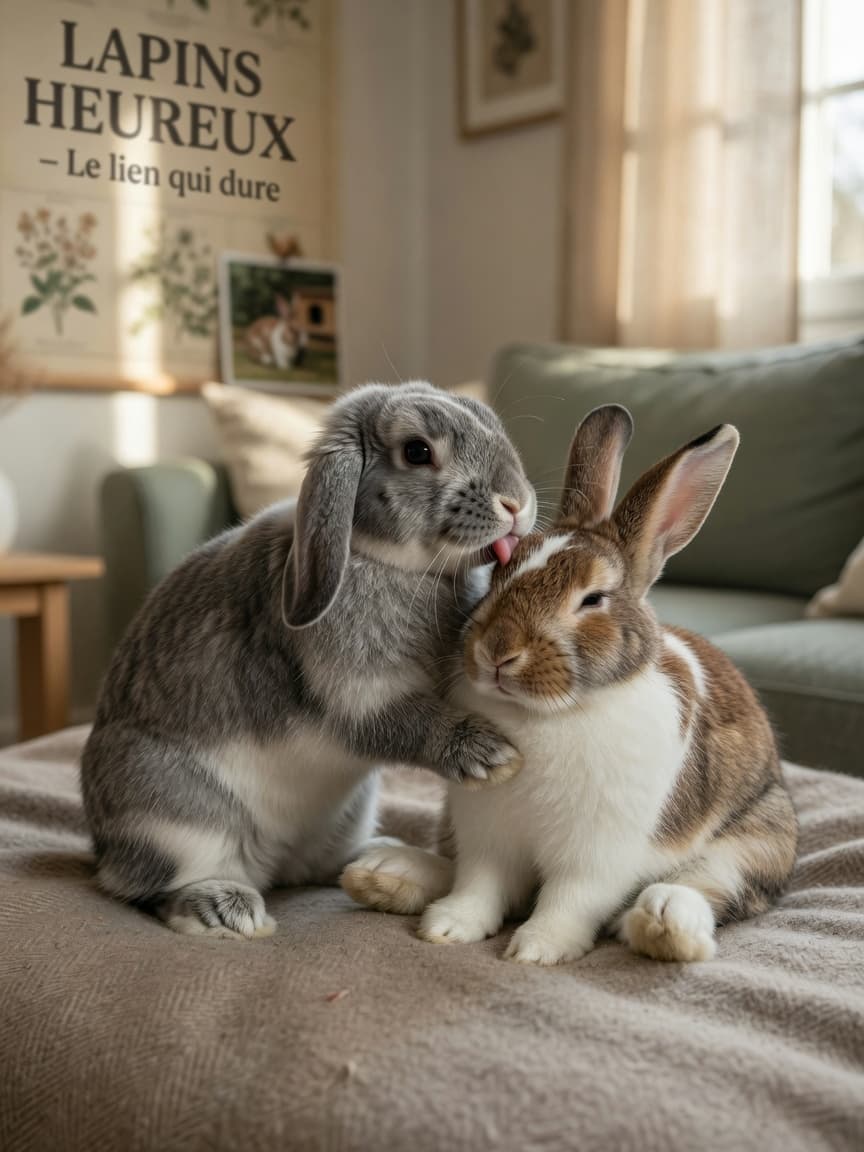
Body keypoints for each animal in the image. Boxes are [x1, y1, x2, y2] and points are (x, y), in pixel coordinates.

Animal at [80, 381, 536, 939]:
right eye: (417, 451)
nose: (517, 502)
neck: (384, 561)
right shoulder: (357, 699)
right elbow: (409, 725)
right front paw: (494, 756)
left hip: (348, 812)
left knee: (320, 867)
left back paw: (379, 860)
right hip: (172, 818)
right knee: (152, 888)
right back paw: (226, 910)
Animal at [342, 404, 798, 965]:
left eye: (593, 599)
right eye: (498, 574)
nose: (497, 651)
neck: (550, 712)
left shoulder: (596, 856)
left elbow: (568, 899)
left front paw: (537, 949)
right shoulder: (487, 835)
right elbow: (480, 886)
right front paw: (449, 927)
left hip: (760, 838)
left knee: (713, 887)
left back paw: (664, 923)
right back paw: (382, 874)